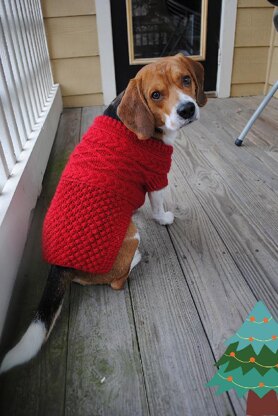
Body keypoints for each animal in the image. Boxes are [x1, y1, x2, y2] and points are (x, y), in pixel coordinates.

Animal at [0, 52, 206, 374]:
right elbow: (157, 206)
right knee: (117, 282)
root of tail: (59, 265)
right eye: (155, 95)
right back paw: (135, 261)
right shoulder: (157, 178)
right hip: (132, 236)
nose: (187, 109)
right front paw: (163, 218)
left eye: (185, 79)